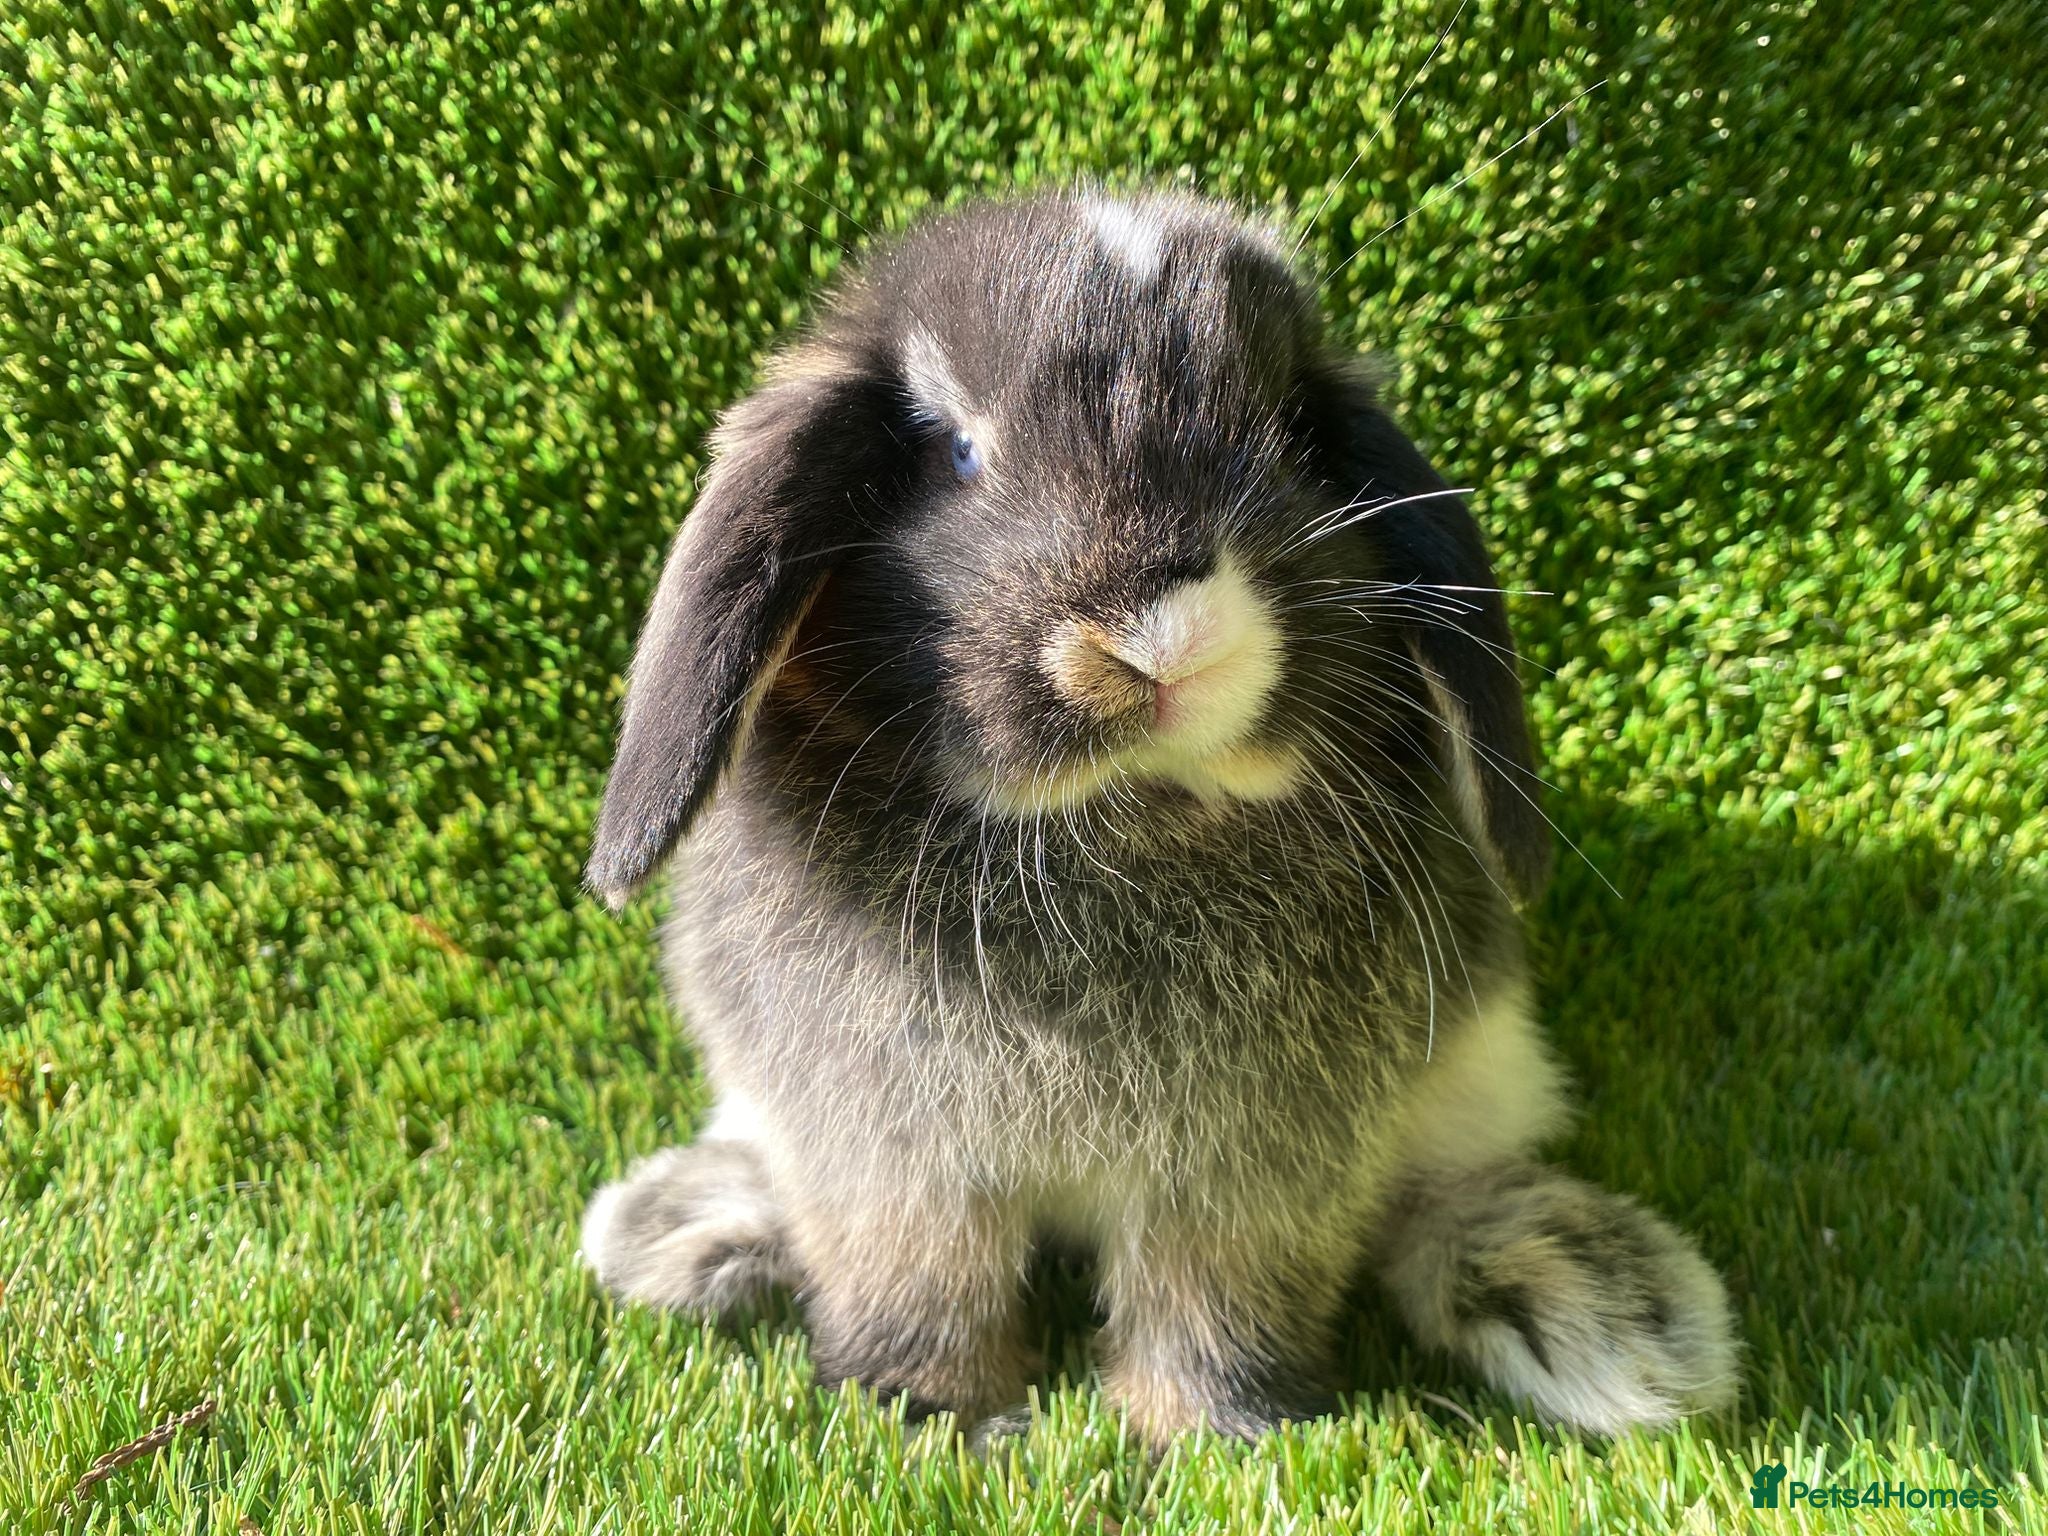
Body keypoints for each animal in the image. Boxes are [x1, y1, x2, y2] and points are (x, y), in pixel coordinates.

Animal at [578, 189, 1737, 1445]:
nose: (1161, 635)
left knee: (1432, 1207)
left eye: (1294, 437)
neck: (1117, 817)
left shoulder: (1251, 1173)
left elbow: (1215, 1295)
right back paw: (682, 1227)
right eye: (954, 451)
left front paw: (1207, 1433)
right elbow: (919, 1281)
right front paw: (927, 1416)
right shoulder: (894, 1162)